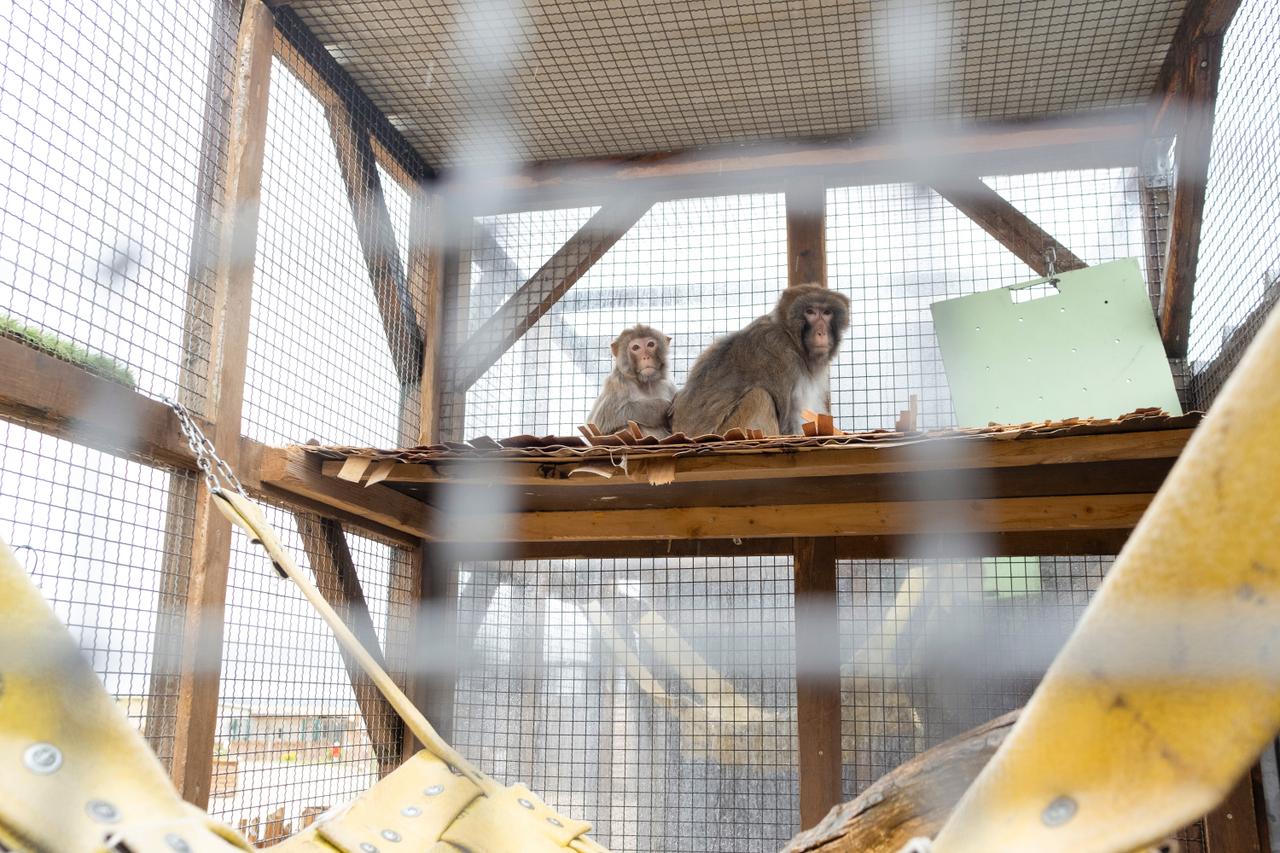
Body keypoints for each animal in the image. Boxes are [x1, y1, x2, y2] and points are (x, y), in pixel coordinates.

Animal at [670, 283, 849, 436]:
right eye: (810, 312)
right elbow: (788, 423)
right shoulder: (782, 356)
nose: (821, 332)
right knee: (760, 397)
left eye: (827, 313)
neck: (789, 335)